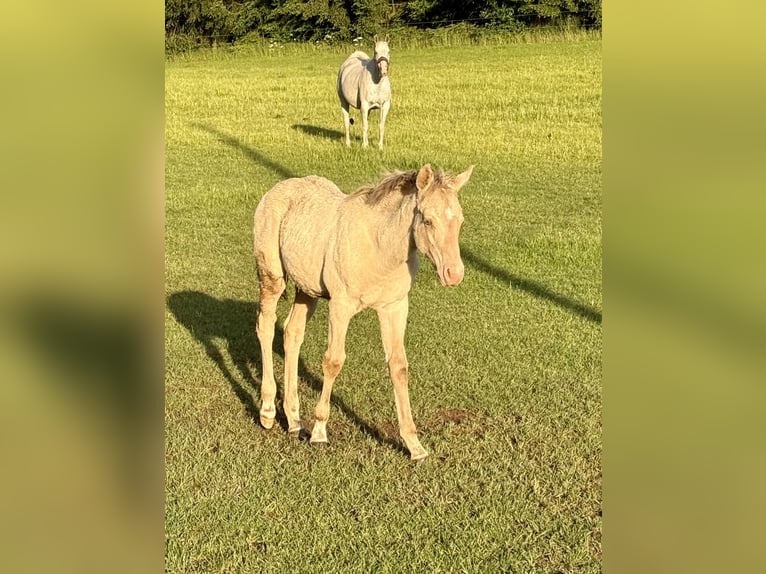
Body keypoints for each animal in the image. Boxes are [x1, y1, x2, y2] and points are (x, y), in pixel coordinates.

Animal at [252, 164, 474, 460]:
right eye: (427, 220)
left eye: (460, 222)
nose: (454, 274)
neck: (380, 248)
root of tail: (278, 188)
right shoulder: (341, 305)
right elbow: (333, 361)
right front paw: (320, 431)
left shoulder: (395, 307)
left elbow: (399, 366)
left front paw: (414, 445)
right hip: (272, 277)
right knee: (265, 326)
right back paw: (267, 411)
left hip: (307, 289)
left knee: (292, 333)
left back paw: (295, 420)